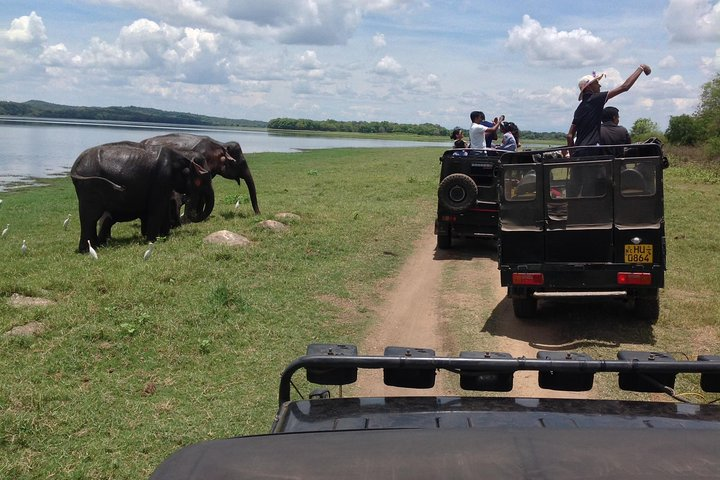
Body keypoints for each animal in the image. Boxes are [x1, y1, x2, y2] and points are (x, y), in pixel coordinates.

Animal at [70, 141, 214, 253]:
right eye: (201, 181)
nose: (189, 197)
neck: (181, 155)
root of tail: (75, 165)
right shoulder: (161, 179)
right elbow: (158, 207)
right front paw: (153, 240)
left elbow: (162, 206)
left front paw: (163, 236)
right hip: (89, 186)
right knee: (91, 216)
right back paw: (87, 250)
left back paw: (96, 246)